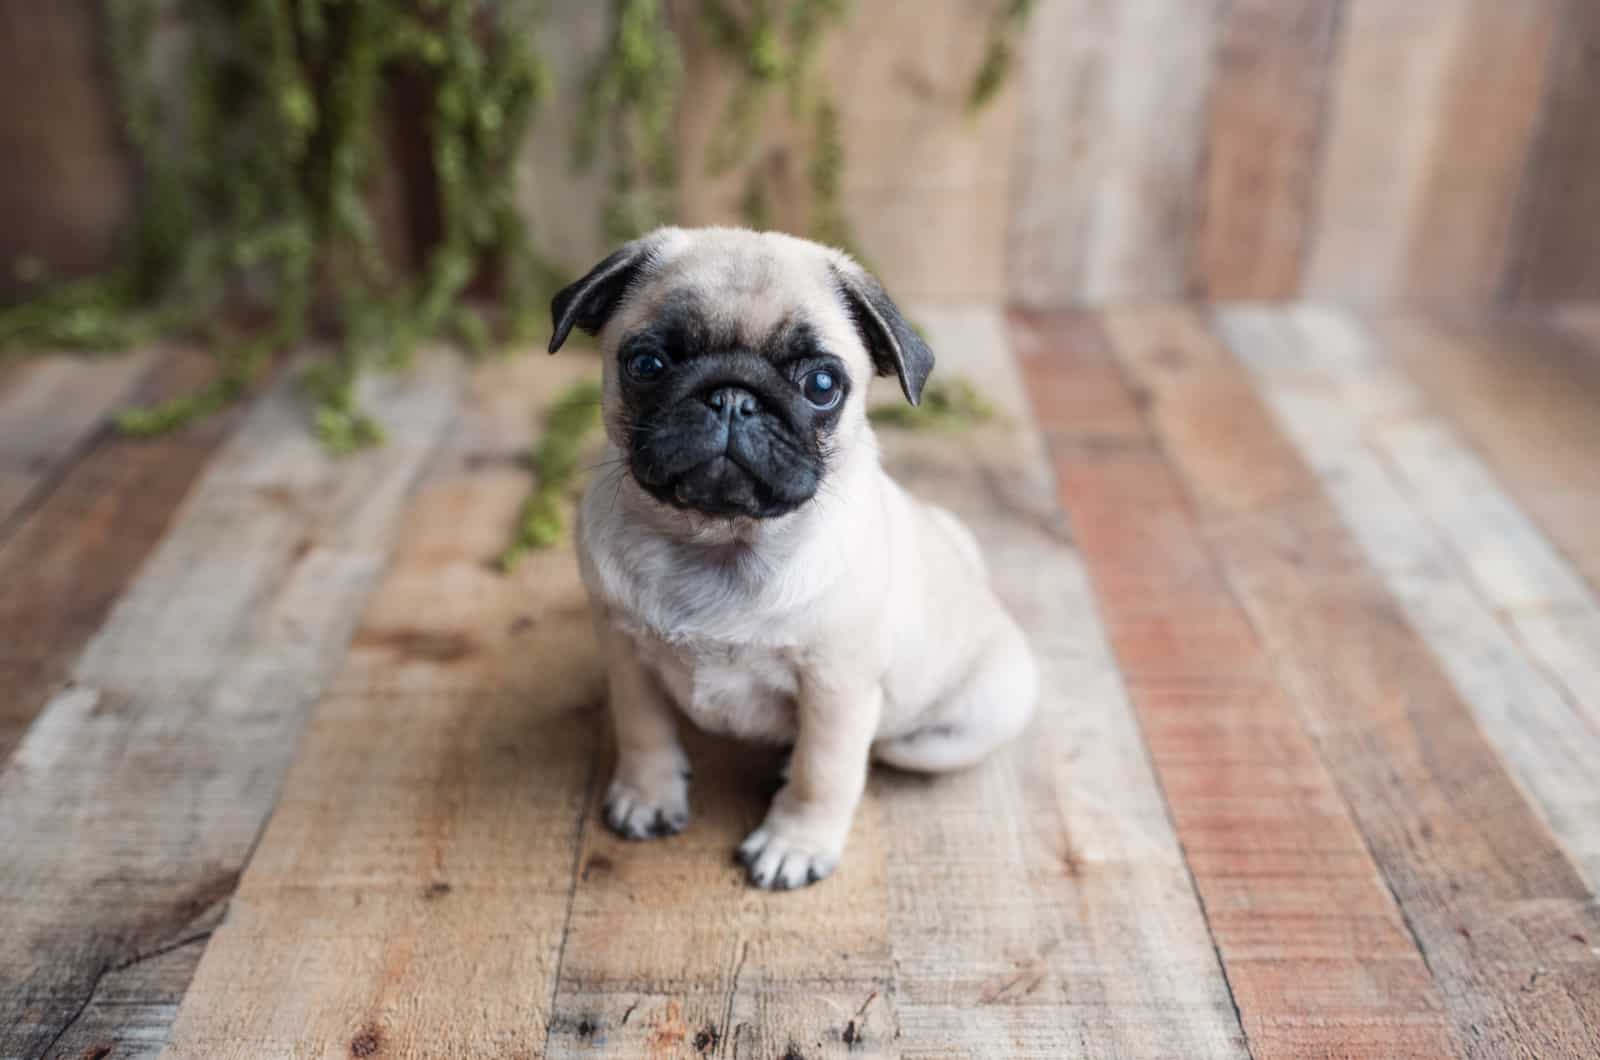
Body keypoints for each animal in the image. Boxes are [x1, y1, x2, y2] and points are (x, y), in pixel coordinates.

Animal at [550, 230, 1036, 890]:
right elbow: (641, 729)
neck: (719, 541)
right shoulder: (625, 654)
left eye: (822, 384)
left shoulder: (836, 688)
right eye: (647, 365)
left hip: (947, 733)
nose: (732, 396)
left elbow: (821, 773)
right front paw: (649, 794)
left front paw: (795, 842)